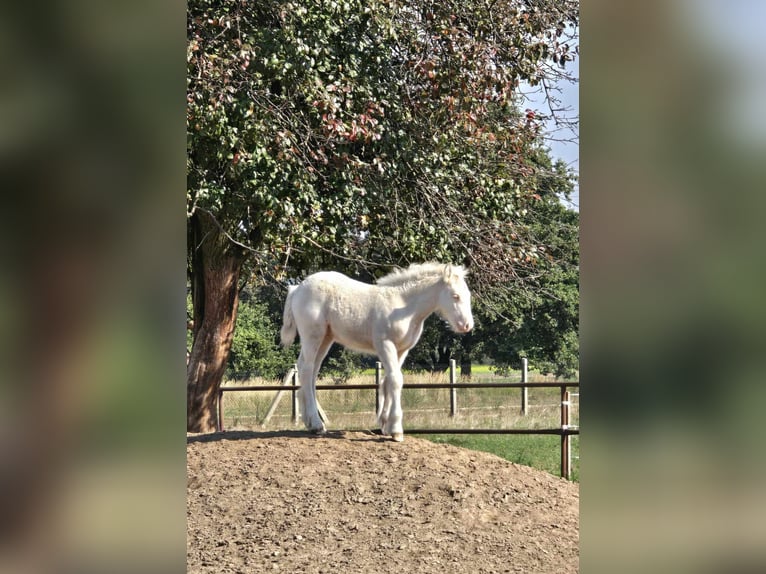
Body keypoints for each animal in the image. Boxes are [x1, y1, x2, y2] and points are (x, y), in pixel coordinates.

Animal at [282, 264, 474, 444]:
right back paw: (316, 424)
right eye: (455, 296)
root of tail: (297, 288)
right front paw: (396, 430)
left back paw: (309, 421)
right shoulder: (385, 344)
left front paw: (385, 424)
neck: (404, 306)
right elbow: (396, 380)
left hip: (326, 339)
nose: (467, 325)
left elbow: (387, 380)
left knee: (311, 371)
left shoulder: (402, 350)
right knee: (307, 370)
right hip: (312, 335)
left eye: (468, 296)